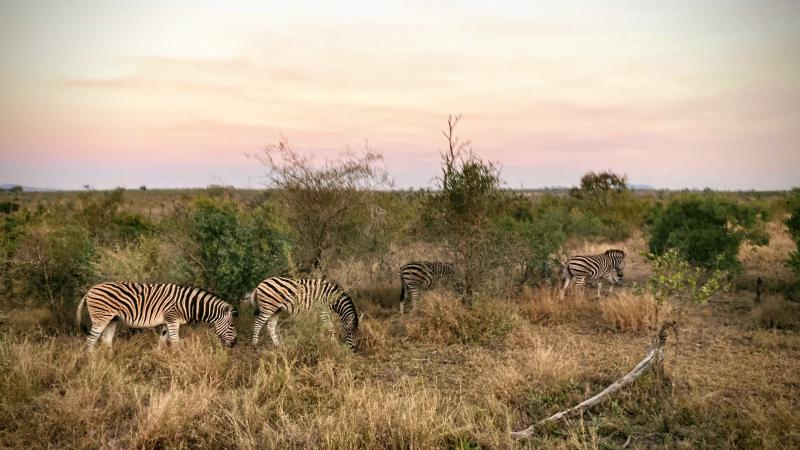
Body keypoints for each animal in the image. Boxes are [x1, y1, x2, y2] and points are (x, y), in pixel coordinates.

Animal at [76, 282, 237, 350]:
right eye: (232, 324)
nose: (235, 343)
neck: (187, 303)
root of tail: (89, 290)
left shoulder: (167, 321)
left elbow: (162, 341)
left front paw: (158, 358)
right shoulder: (172, 319)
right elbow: (175, 342)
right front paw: (178, 360)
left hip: (112, 319)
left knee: (106, 341)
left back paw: (109, 362)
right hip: (101, 318)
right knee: (90, 341)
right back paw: (92, 364)